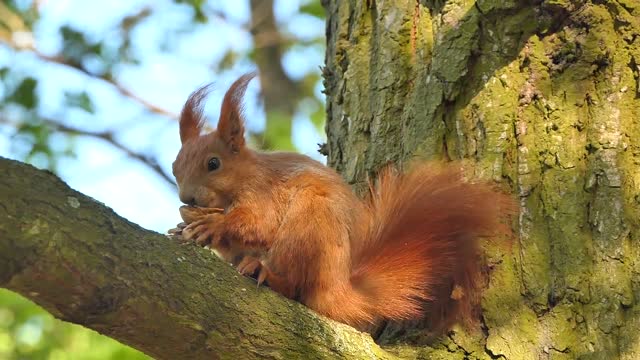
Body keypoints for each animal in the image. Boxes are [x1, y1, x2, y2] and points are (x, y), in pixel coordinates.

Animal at [169, 72, 516, 332]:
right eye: (174, 168)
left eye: (214, 164)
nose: (186, 198)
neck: (243, 178)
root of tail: (338, 289)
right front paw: (185, 226)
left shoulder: (263, 191)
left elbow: (258, 223)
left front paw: (212, 223)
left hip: (309, 225)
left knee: (295, 286)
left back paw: (264, 273)